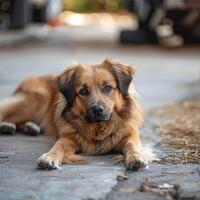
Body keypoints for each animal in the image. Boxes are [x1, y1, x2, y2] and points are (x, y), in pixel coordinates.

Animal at [0, 57, 149, 170]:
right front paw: (49, 157)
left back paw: (31, 127)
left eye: (107, 88)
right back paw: (7, 126)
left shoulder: (130, 134)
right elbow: (58, 146)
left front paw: (136, 157)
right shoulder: (68, 138)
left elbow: (132, 145)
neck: (98, 129)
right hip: (36, 101)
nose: (97, 110)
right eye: (83, 91)